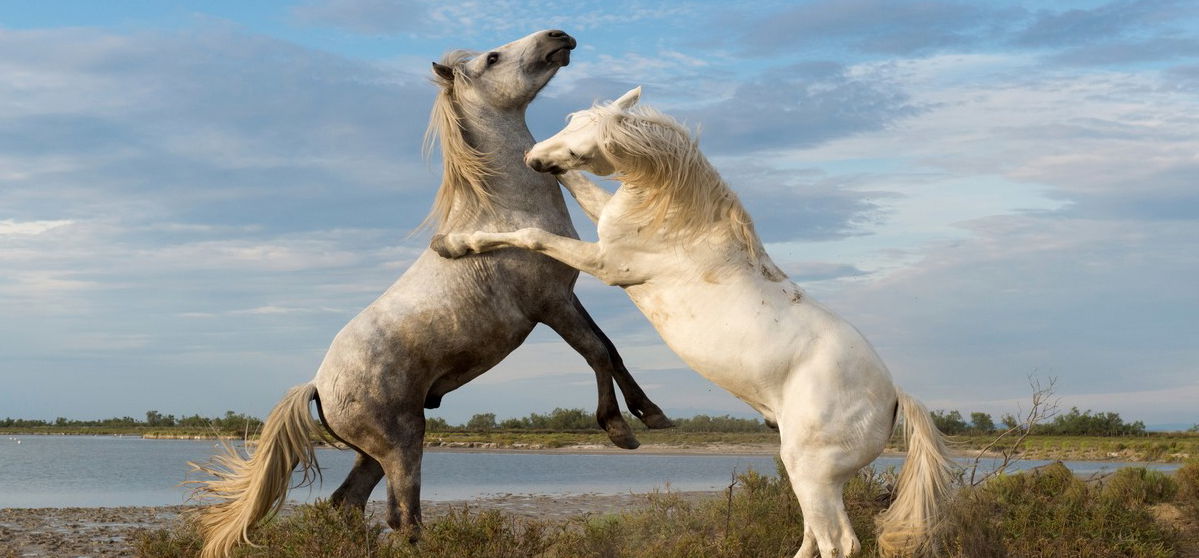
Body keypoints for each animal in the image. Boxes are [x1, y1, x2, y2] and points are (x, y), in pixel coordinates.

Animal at [190, 29, 671, 556]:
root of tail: (318, 384)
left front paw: (652, 415)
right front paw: (620, 431)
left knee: (347, 503)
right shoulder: (551, 304)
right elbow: (596, 354)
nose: (558, 37)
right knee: (403, 517)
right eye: (493, 57)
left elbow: (612, 349)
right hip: (403, 445)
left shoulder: (568, 295)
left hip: (375, 454)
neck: (501, 212)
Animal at [436, 84, 959, 554]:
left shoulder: (607, 263)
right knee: (814, 536)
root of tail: (893, 397)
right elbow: (579, 190)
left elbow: (532, 235)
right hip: (814, 477)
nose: (533, 157)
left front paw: (454, 244)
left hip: (812, 473)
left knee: (838, 543)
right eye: (571, 120)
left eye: (585, 143)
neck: (682, 225)